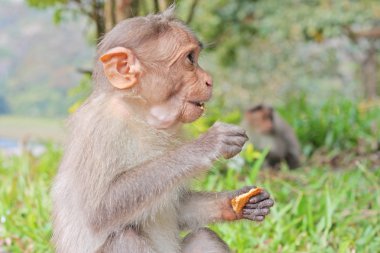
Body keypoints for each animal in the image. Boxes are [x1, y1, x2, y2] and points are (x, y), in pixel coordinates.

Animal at [52, 7, 274, 253]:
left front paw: (237, 202)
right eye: (190, 59)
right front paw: (207, 144)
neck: (140, 116)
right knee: (124, 236)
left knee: (204, 237)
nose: (210, 81)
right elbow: (99, 210)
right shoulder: (100, 128)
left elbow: (178, 208)